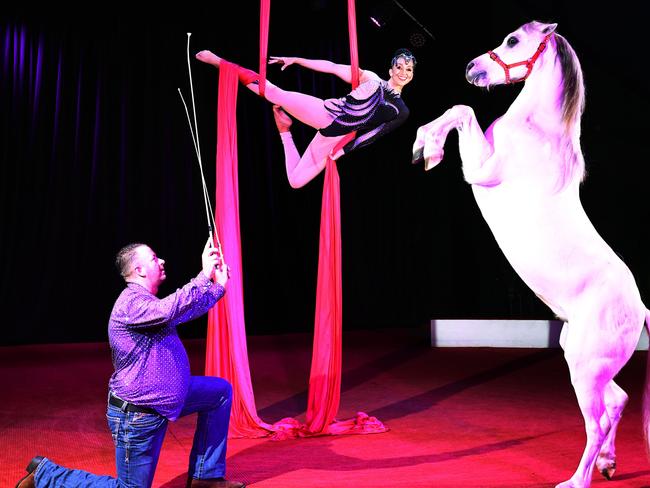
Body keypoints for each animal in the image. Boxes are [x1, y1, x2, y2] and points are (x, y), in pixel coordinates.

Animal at [412, 20, 648, 488]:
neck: (536, 131)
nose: (471, 68)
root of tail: (642, 309)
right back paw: (609, 464)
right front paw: (422, 145)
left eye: (513, 41)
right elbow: (457, 109)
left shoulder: (479, 170)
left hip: (585, 369)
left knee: (596, 423)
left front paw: (428, 150)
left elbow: (462, 110)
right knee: (618, 401)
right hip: (583, 360)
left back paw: (577, 480)